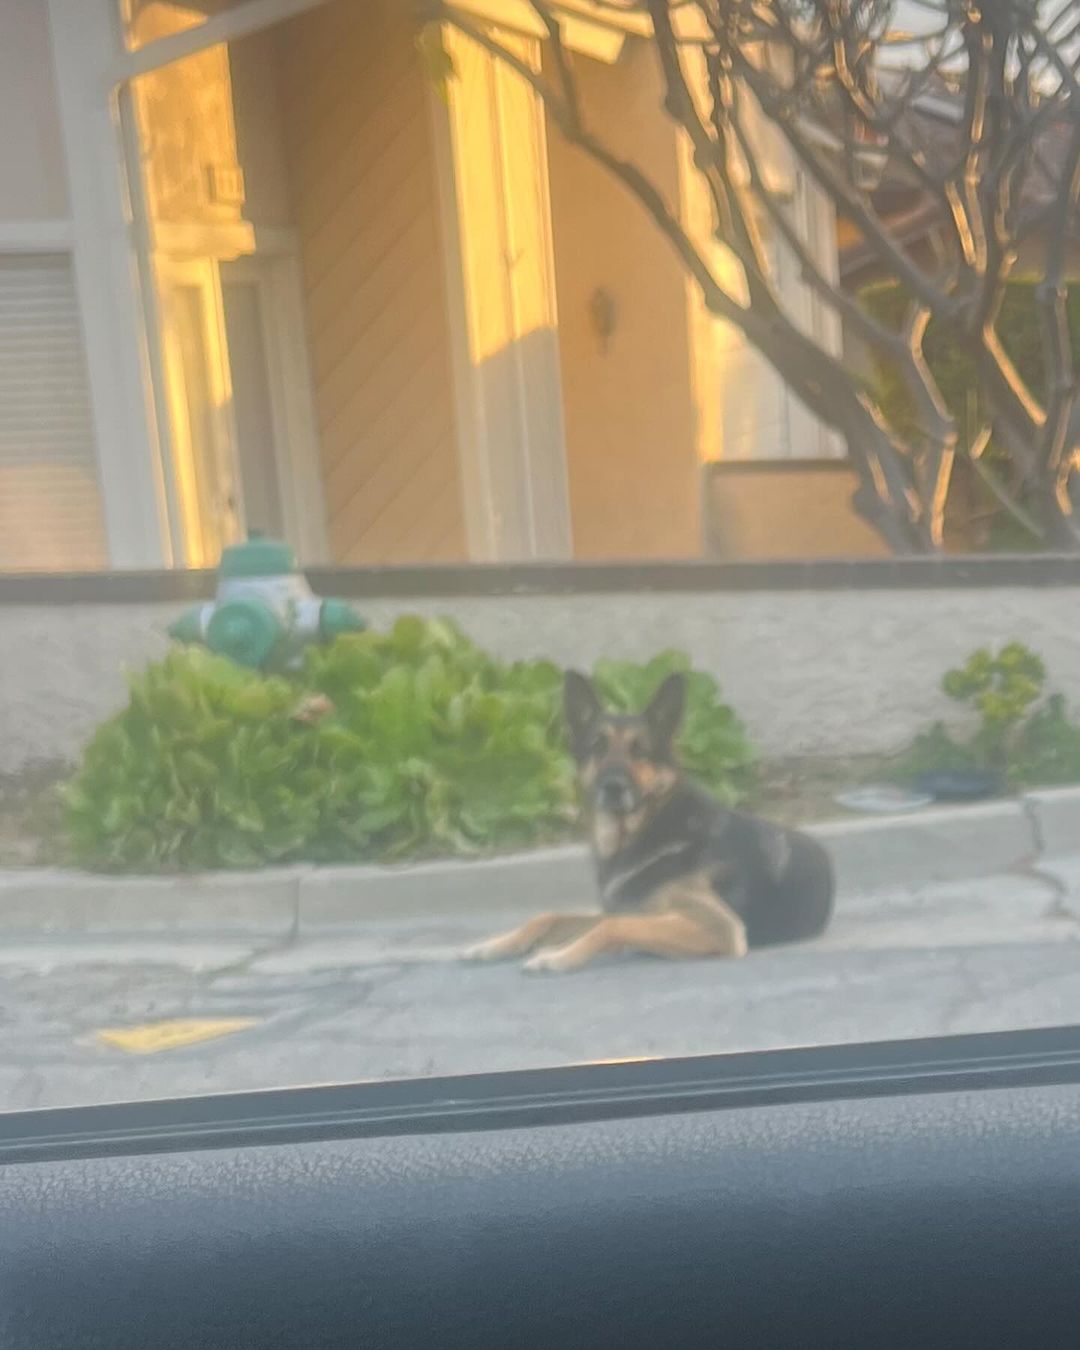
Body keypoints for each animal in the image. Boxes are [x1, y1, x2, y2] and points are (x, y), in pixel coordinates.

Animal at [464, 672, 837, 972]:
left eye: (640, 750)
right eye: (597, 746)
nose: (613, 787)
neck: (646, 832)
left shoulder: (718, 926)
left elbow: (613, 927)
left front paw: (559, 956)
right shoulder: (626, 908)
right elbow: (549, 916)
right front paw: (491, 944)